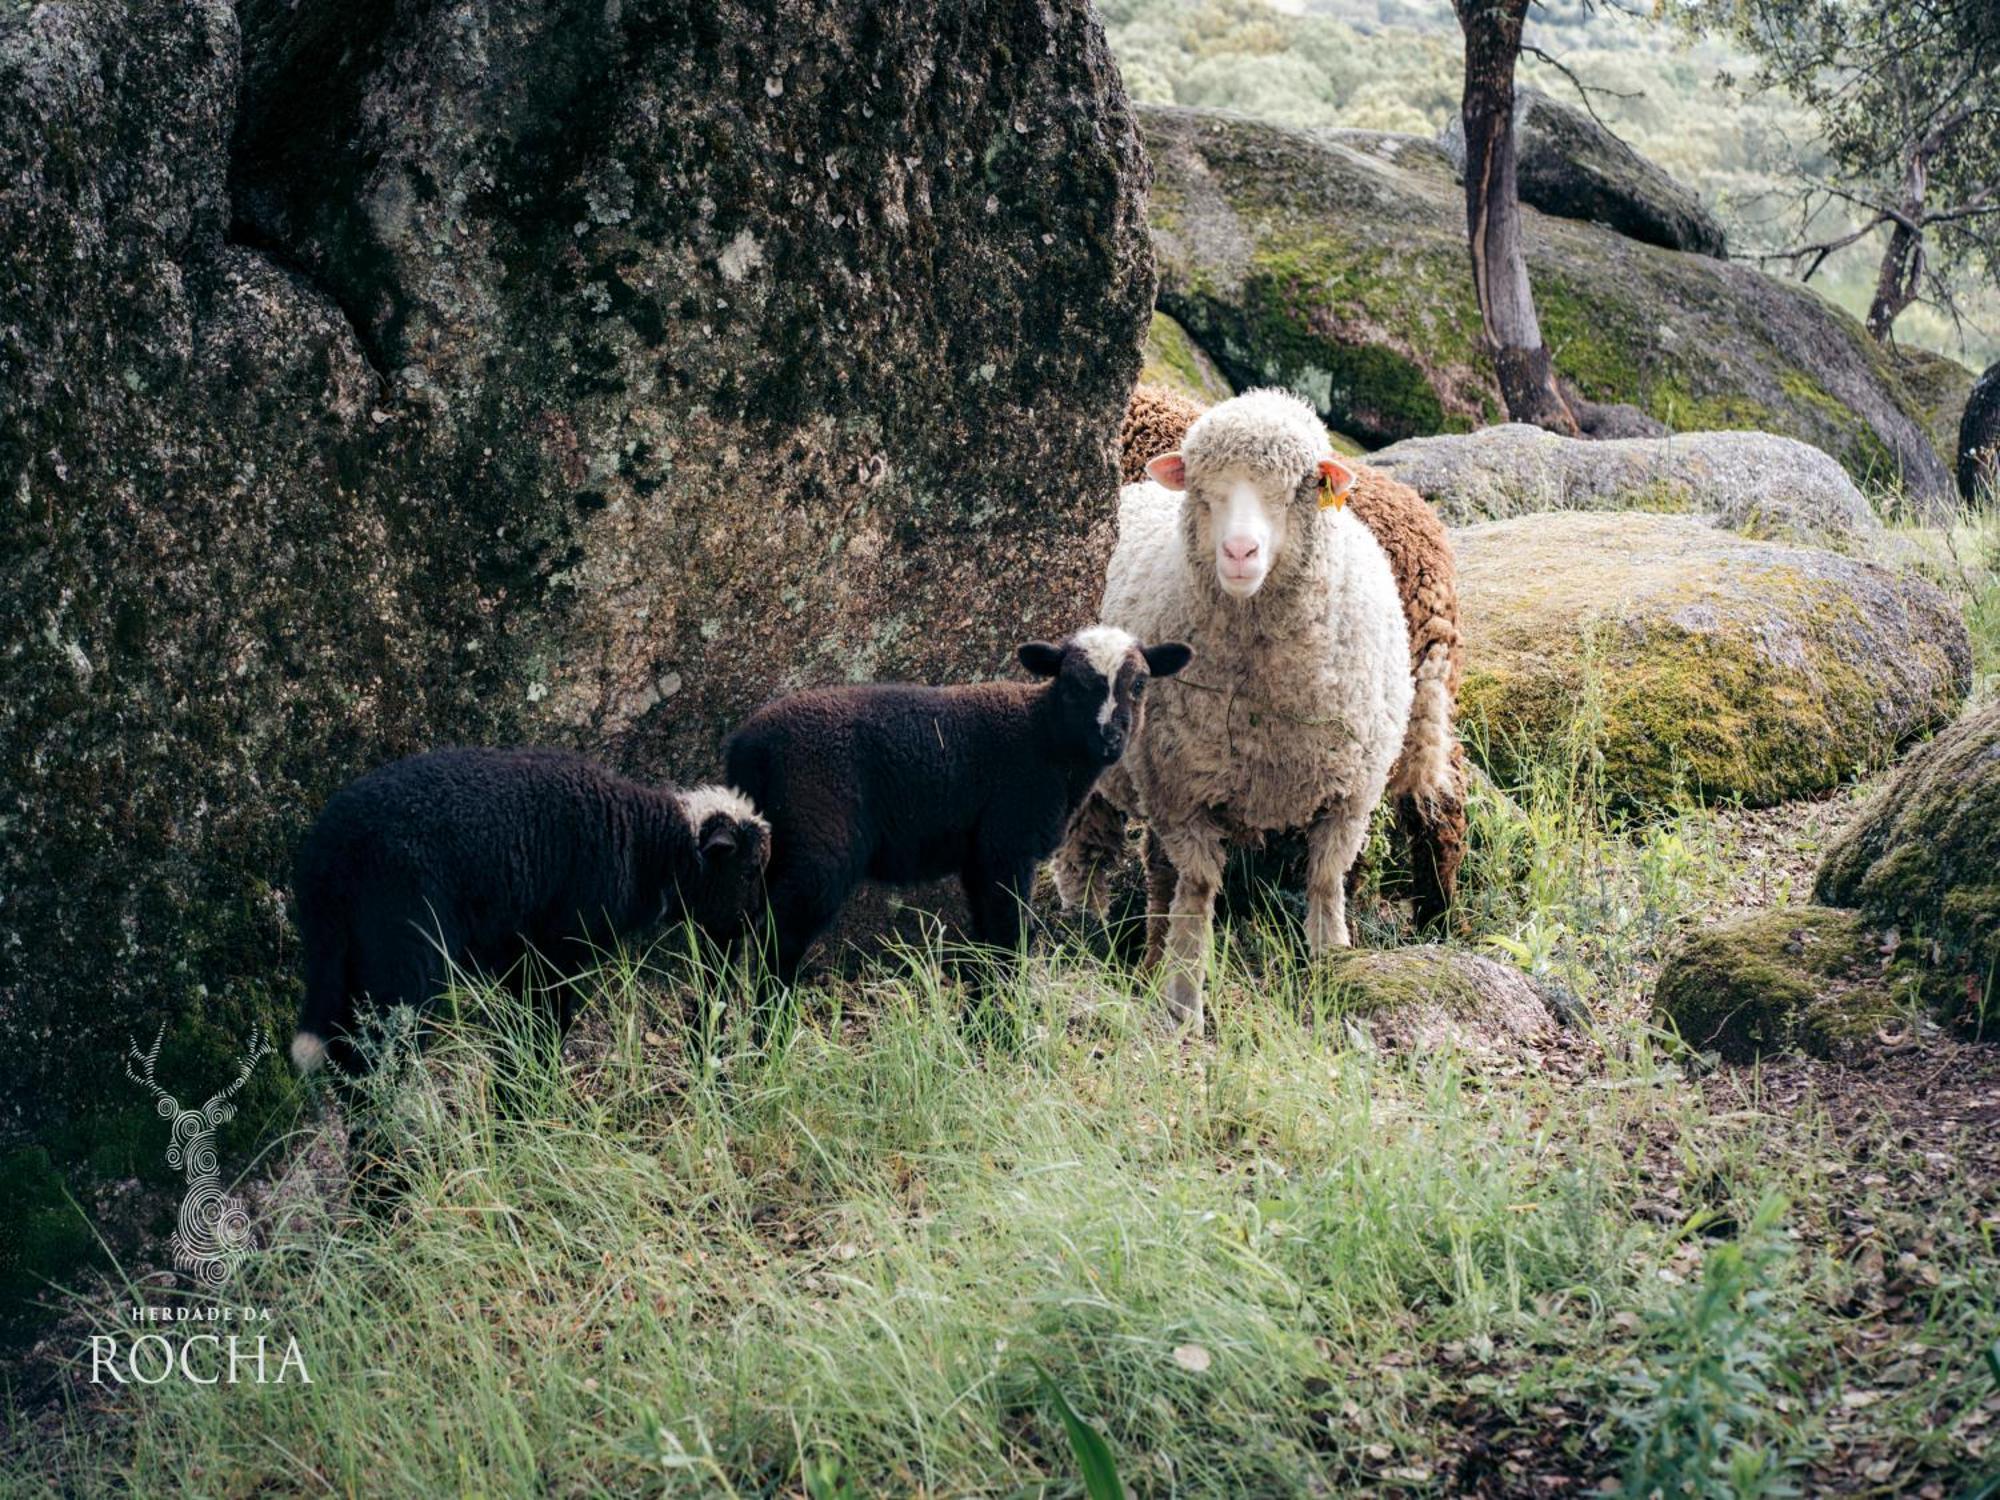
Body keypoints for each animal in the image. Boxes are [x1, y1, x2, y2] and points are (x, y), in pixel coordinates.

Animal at [290, 748, 764, 1072]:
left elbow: (521, 1025)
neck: (644, 844)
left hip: (343, 958)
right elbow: (549, 1020)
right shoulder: (554, 947)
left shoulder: (514, 951)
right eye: (747, 872)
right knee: (374, 1053)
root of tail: (327, 859)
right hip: (400, 955)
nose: (754, 925)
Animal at [724, 624, 1184, 988]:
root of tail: (747, 747)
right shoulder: (1006, 843)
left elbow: (987, 938)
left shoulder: (979, 858)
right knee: (778, 941)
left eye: (1139, 684)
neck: (1044, 734)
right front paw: (1004, 1029)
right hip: (817, 845)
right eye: (1073, 686)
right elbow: (1007, 937)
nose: (1111, 740)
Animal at [1056, 384, 1416, 1032]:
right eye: (1204, 488)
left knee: (1154, 872)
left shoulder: (1350, 797)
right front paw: (1184, 1008)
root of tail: (1130, 492)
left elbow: (1325, 883)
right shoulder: (1183, 796)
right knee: (1088, 853)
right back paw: (1082, 930)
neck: (1264, 705)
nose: (1240, 551)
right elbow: (1199, 893)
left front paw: (1332, 972)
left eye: (1300, 485)